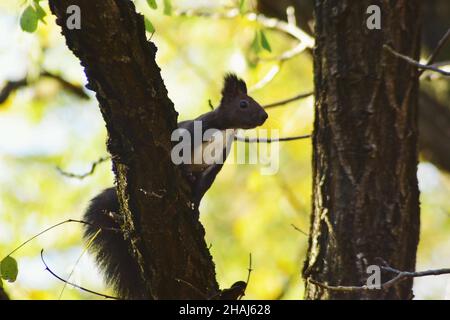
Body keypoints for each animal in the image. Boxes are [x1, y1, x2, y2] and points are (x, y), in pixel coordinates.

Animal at [82, 74, 268, 298]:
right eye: (243, 104)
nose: (264, 116)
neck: (225, 130)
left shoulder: (217, 162)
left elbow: (204, 186)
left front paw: (195, 209)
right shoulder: (191, 131)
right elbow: (178, 152)